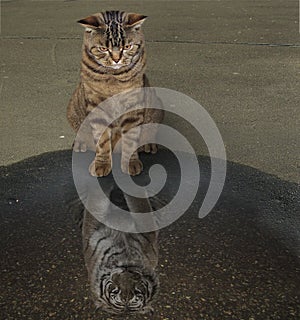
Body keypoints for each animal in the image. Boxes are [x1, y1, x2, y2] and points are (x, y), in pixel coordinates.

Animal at [67, 10, 164, 178]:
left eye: (127, 46)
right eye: (103, 49)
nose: (116, 59)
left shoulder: (133, 105)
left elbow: (131, 138)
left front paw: (130, 162)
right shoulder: (97, 106)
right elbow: (102, 140)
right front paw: (101, 163)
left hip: (156, 107)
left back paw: (149, 144)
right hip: (72, 109)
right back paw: (80, 142)